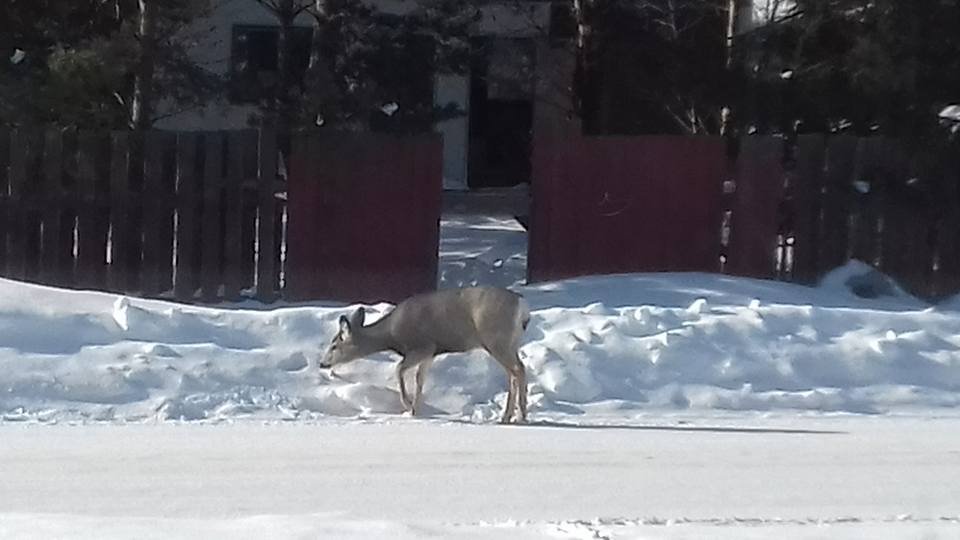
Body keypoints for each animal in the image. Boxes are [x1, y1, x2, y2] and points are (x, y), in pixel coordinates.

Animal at [320, 288, 532, 424]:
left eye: (334, 346)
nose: (322, 363)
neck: (392, 335)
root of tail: (522, 306)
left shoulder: (422, 346)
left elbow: (399, 368)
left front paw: (407, 406)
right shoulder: (430, 353)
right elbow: (419, 379)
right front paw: (415, 410)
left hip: (495, 338)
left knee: (517, 370)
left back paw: (519, 416)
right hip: (510, 342)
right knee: (515, 371)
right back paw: (509, 416)